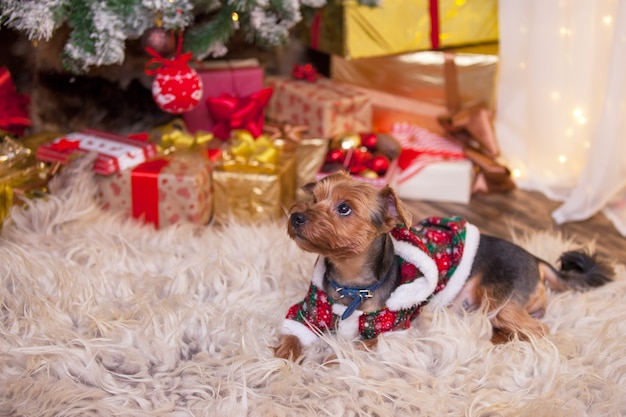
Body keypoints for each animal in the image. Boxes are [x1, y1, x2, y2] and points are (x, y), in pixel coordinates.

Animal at [272, 171, 608, 360]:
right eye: (313, 198)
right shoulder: (307, 312)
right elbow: (292, 334)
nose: (296, 216)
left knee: (539, 329)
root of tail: (537, 259)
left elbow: (349, 349)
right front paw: (283, 360)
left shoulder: (390, 331)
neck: (352, 286)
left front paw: (328, 361)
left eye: (344, 208)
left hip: (500, 301)